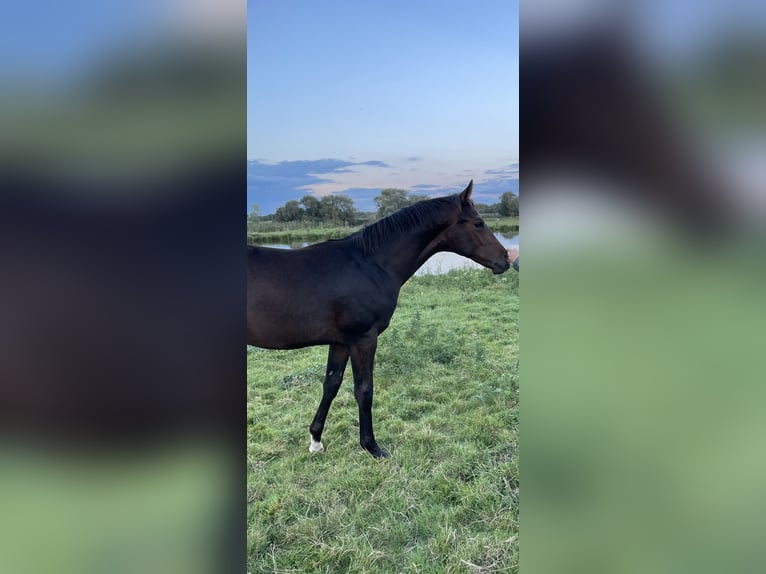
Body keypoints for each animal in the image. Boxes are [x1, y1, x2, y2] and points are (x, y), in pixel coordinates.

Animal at [248, 180, 510, 460]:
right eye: (478, 223)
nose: (505, 259)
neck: (370, 264)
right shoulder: (363, 339)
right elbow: (364, 390)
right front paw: (371, 446)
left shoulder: (340, 342)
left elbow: (331, 384)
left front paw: (316, 440)